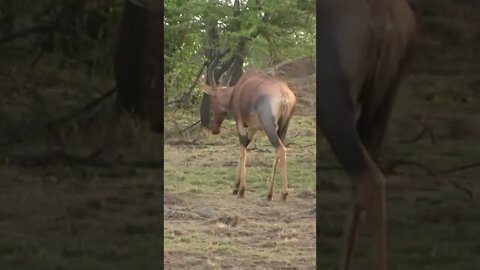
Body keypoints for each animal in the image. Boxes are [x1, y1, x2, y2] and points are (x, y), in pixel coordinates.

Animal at [199, 69, 296, 200]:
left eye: (213, 99)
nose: (215, 129)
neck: (240, 87)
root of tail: (285, 95)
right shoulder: (253, 127)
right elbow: (245, 145)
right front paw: (236, 187)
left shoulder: (240, 122)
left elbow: (242, 150)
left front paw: (241, 190)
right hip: (283, 127)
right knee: (278, 151)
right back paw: (269, 194)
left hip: (269, 126)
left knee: (281, 149)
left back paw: (284, 193)